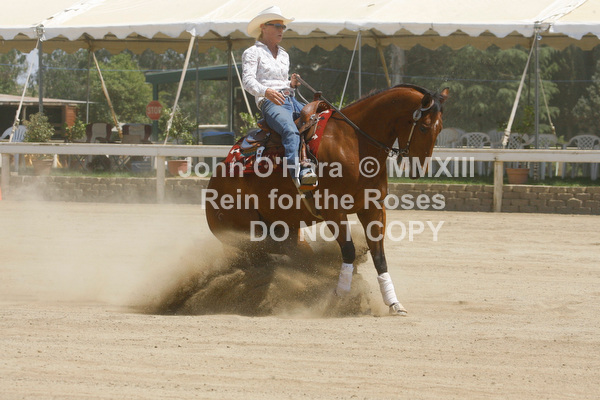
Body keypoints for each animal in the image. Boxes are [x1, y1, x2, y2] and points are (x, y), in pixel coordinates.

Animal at [205, 84, 449, 315]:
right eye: (424, 126)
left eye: (440, 128)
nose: (419, 169)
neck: (353, 142)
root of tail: (212, 185)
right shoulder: (334, 210)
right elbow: (349, 251)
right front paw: (340, 298)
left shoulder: (372, 208)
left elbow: (379, 256)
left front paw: (393, 303)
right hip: (249, 236)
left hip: (285, 233)